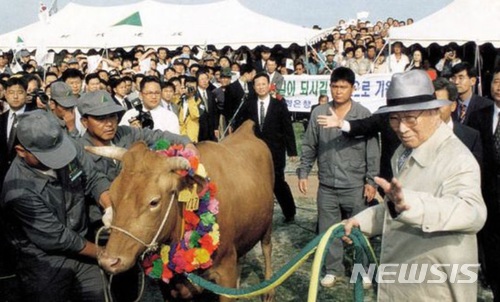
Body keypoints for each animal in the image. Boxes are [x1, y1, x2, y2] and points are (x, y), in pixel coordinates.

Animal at [88, 121, 274, 302]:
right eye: (112, 195)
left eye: (154, 202)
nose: (109, 261)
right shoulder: (166, 287)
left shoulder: (225, 272)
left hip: (268, 222)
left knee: (267, 249)